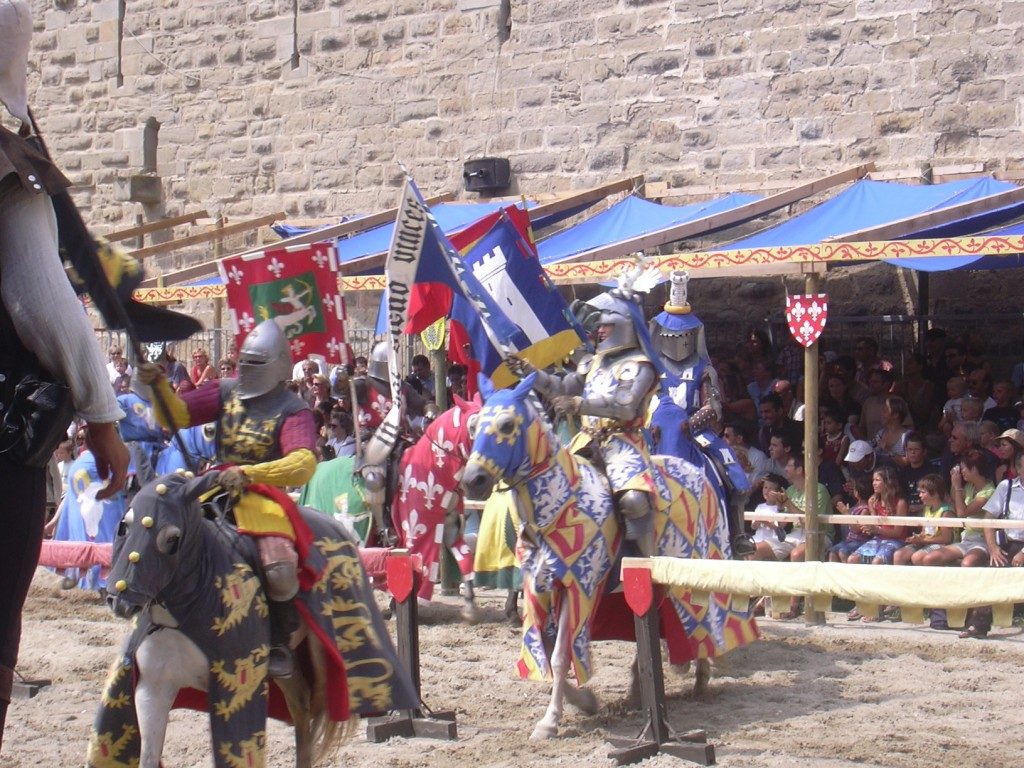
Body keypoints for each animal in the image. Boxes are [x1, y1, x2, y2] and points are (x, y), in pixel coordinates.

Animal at [90, 468, 417, 768]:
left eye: (172, 538)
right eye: (123, 526)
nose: (119, 599)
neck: (183, 610)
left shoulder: (234, 688)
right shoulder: (152, 688)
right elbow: (147, 754)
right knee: (301, 705)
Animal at [460, 376, 757, 741]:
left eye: (506, 425)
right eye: (474, 427)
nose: (472, 480)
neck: (559, 504)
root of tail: (698, 473)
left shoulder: (579, 589)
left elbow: (560, 655)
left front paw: (551, 720)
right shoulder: (537, 587)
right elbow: (544, 646)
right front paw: (585, 701)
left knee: (703, 616)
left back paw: (699, 674)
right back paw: (639, 688)